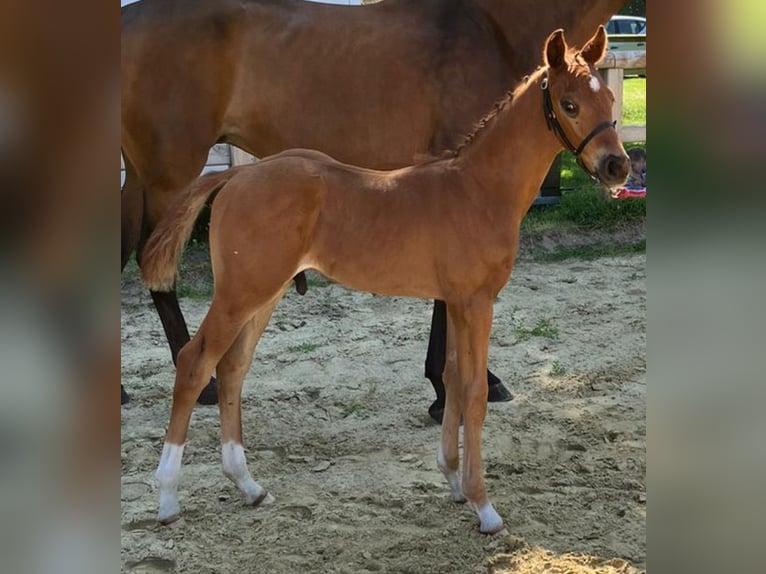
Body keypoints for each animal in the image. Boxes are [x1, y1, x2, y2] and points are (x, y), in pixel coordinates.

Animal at [120, 0, 628, 416]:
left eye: (609, 98)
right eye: (569, 104)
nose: (619, 166)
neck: (492, 25)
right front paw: (452, 389)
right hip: (169, 176)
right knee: (155, 265)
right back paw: (202, 385)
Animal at [140, 28, 632, 536]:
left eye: (609, 97)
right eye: (569, 104)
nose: (618, 166)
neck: (477, 188)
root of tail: (239, 173)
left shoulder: (453, 301)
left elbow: (453, 380)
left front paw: (453, 481)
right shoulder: (476, 303)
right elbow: (474, 391)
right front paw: (484, 506)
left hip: (264, 295)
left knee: (233, 369)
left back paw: (248, 485)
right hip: (240, 294)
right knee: (195, 364)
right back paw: (167, 497)